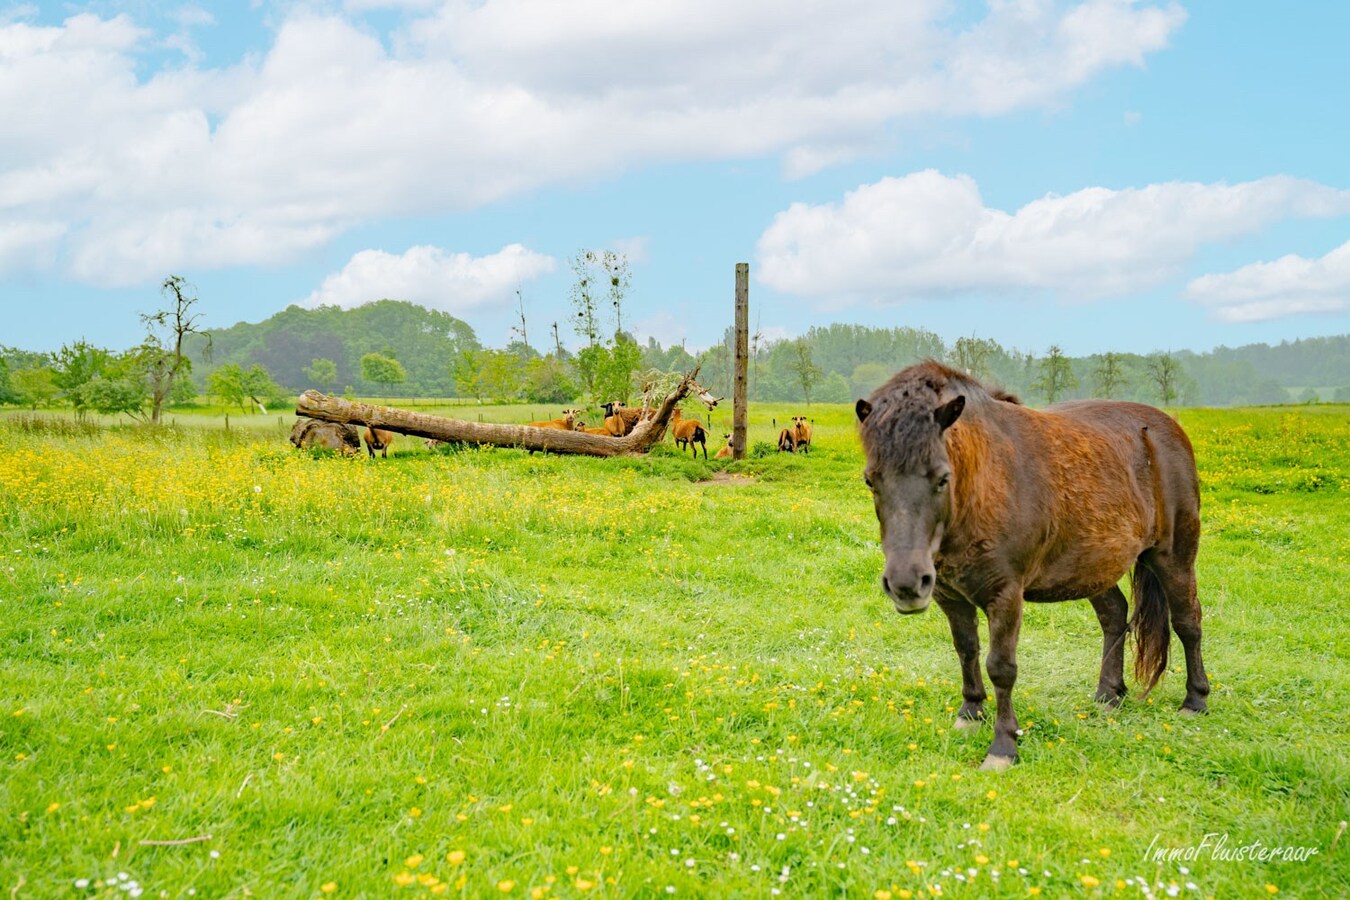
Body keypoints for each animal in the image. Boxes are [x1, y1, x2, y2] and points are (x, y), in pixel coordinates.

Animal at [858, 361, 1209, 771]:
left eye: (942, 478)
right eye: (871, 480)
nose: (906, 583)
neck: (983, 483)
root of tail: (1169, 428)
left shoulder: (1006, 595)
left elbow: (1001, 667)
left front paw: (1003, 746)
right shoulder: (949, 595)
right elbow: (966, 650)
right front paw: (970, 714)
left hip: (1174, 557)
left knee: (1187, 622)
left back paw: (1195, 700)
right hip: (1093, 566)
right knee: (1114, 615)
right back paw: (1109, 695)